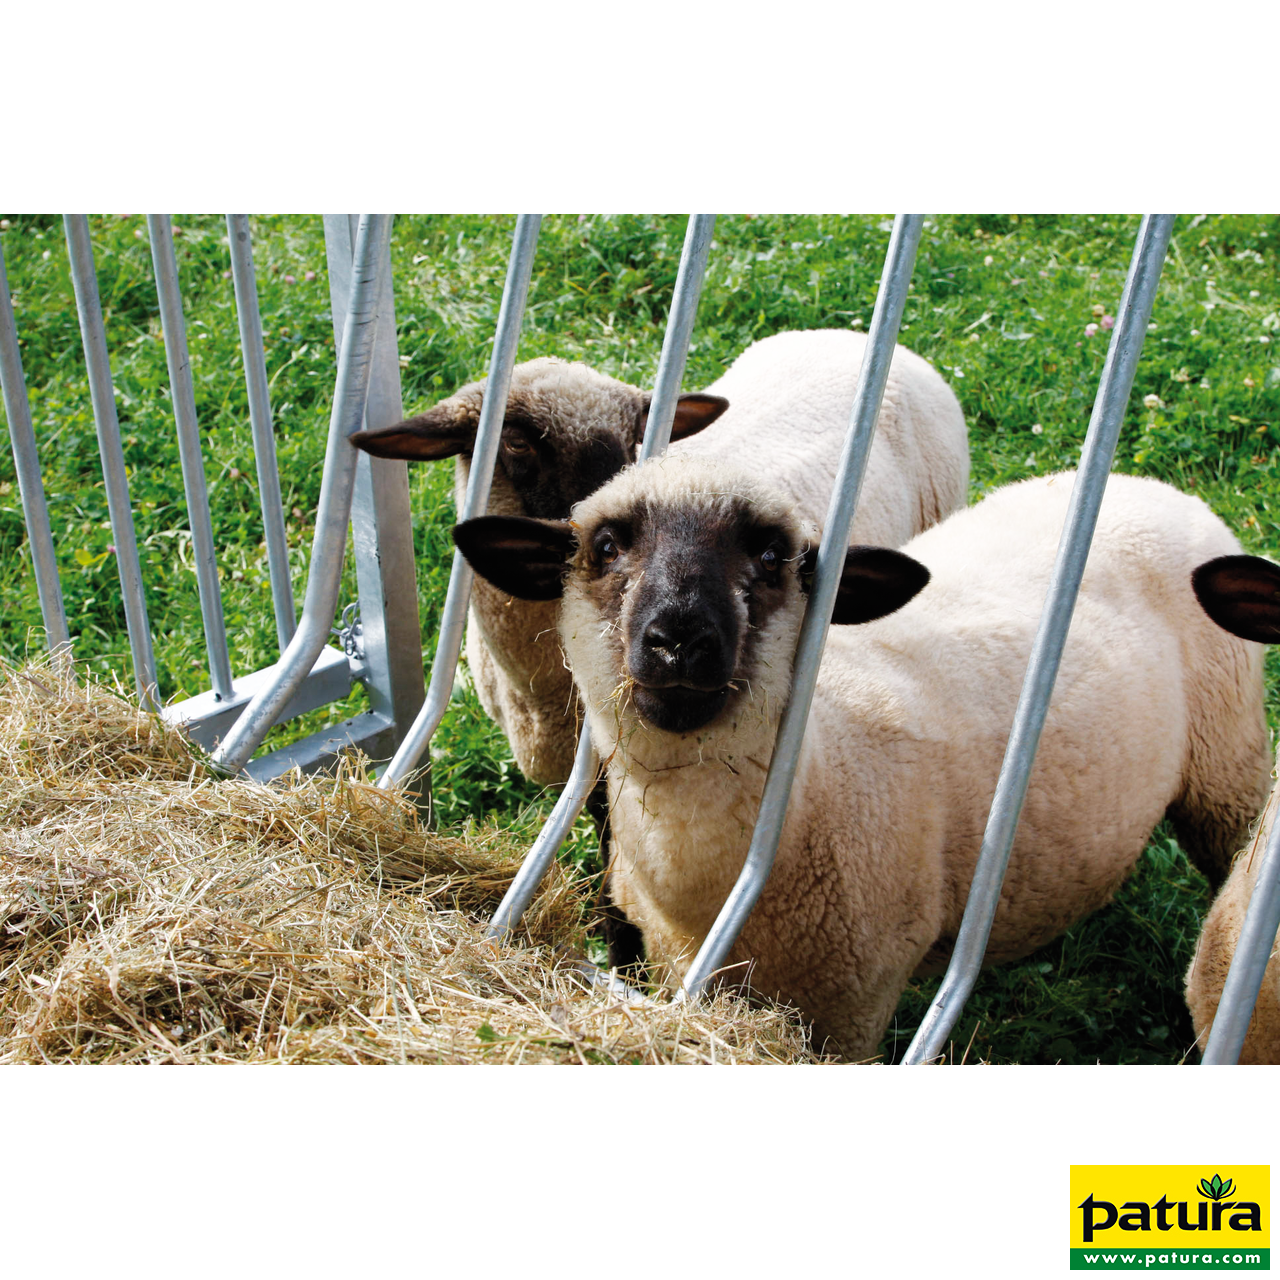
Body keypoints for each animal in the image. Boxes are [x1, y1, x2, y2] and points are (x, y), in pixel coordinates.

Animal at [452, 460, 1271, 1060]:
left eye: (772, 555)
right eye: (606, 547)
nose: (679, 638)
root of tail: (1147, 483)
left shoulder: (854, 999)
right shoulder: (678, 962)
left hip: (1228, 770)